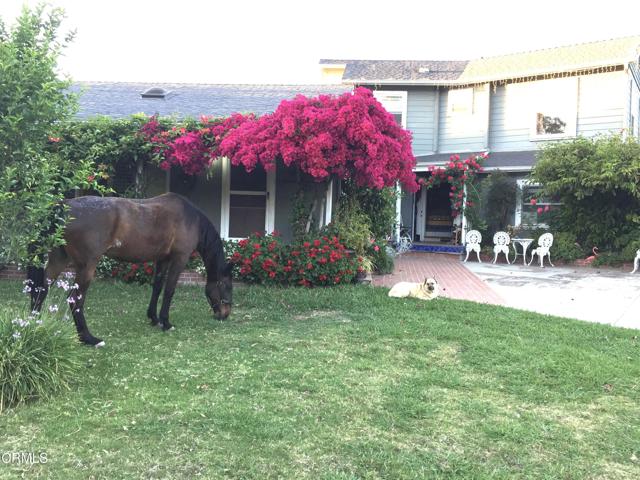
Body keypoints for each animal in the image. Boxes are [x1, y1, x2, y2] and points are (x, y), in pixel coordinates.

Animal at [28, 193, 232, 346]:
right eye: (226, 286)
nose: (225, 314)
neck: (191, 218)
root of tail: (65, 205)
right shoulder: (179, 259)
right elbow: (169, 290)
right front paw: (166, 322)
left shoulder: (163, 260)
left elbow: (157, 287)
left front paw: (154, 318)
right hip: (86, 266)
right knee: (75, 299)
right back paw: (89, 339)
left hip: (59, 258)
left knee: (41, 289)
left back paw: (34, 324)